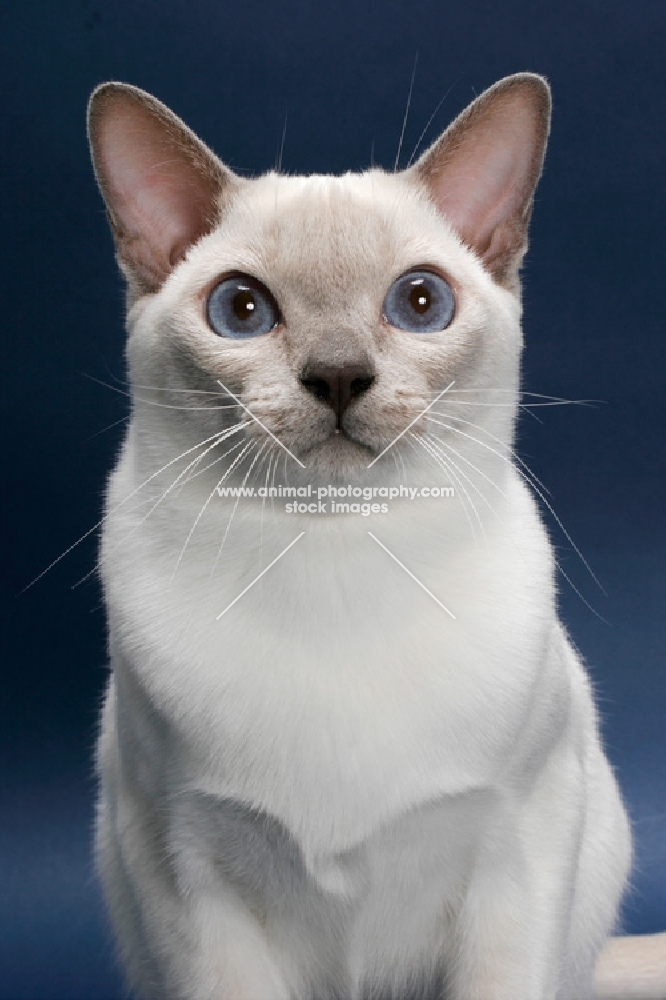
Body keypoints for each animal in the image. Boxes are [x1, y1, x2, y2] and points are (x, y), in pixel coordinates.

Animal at [84, 74, 652, 996]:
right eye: (241, 309)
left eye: (420, 303)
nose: (340, 375)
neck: (335, 561)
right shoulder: (187, 870)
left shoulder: (519, 849)